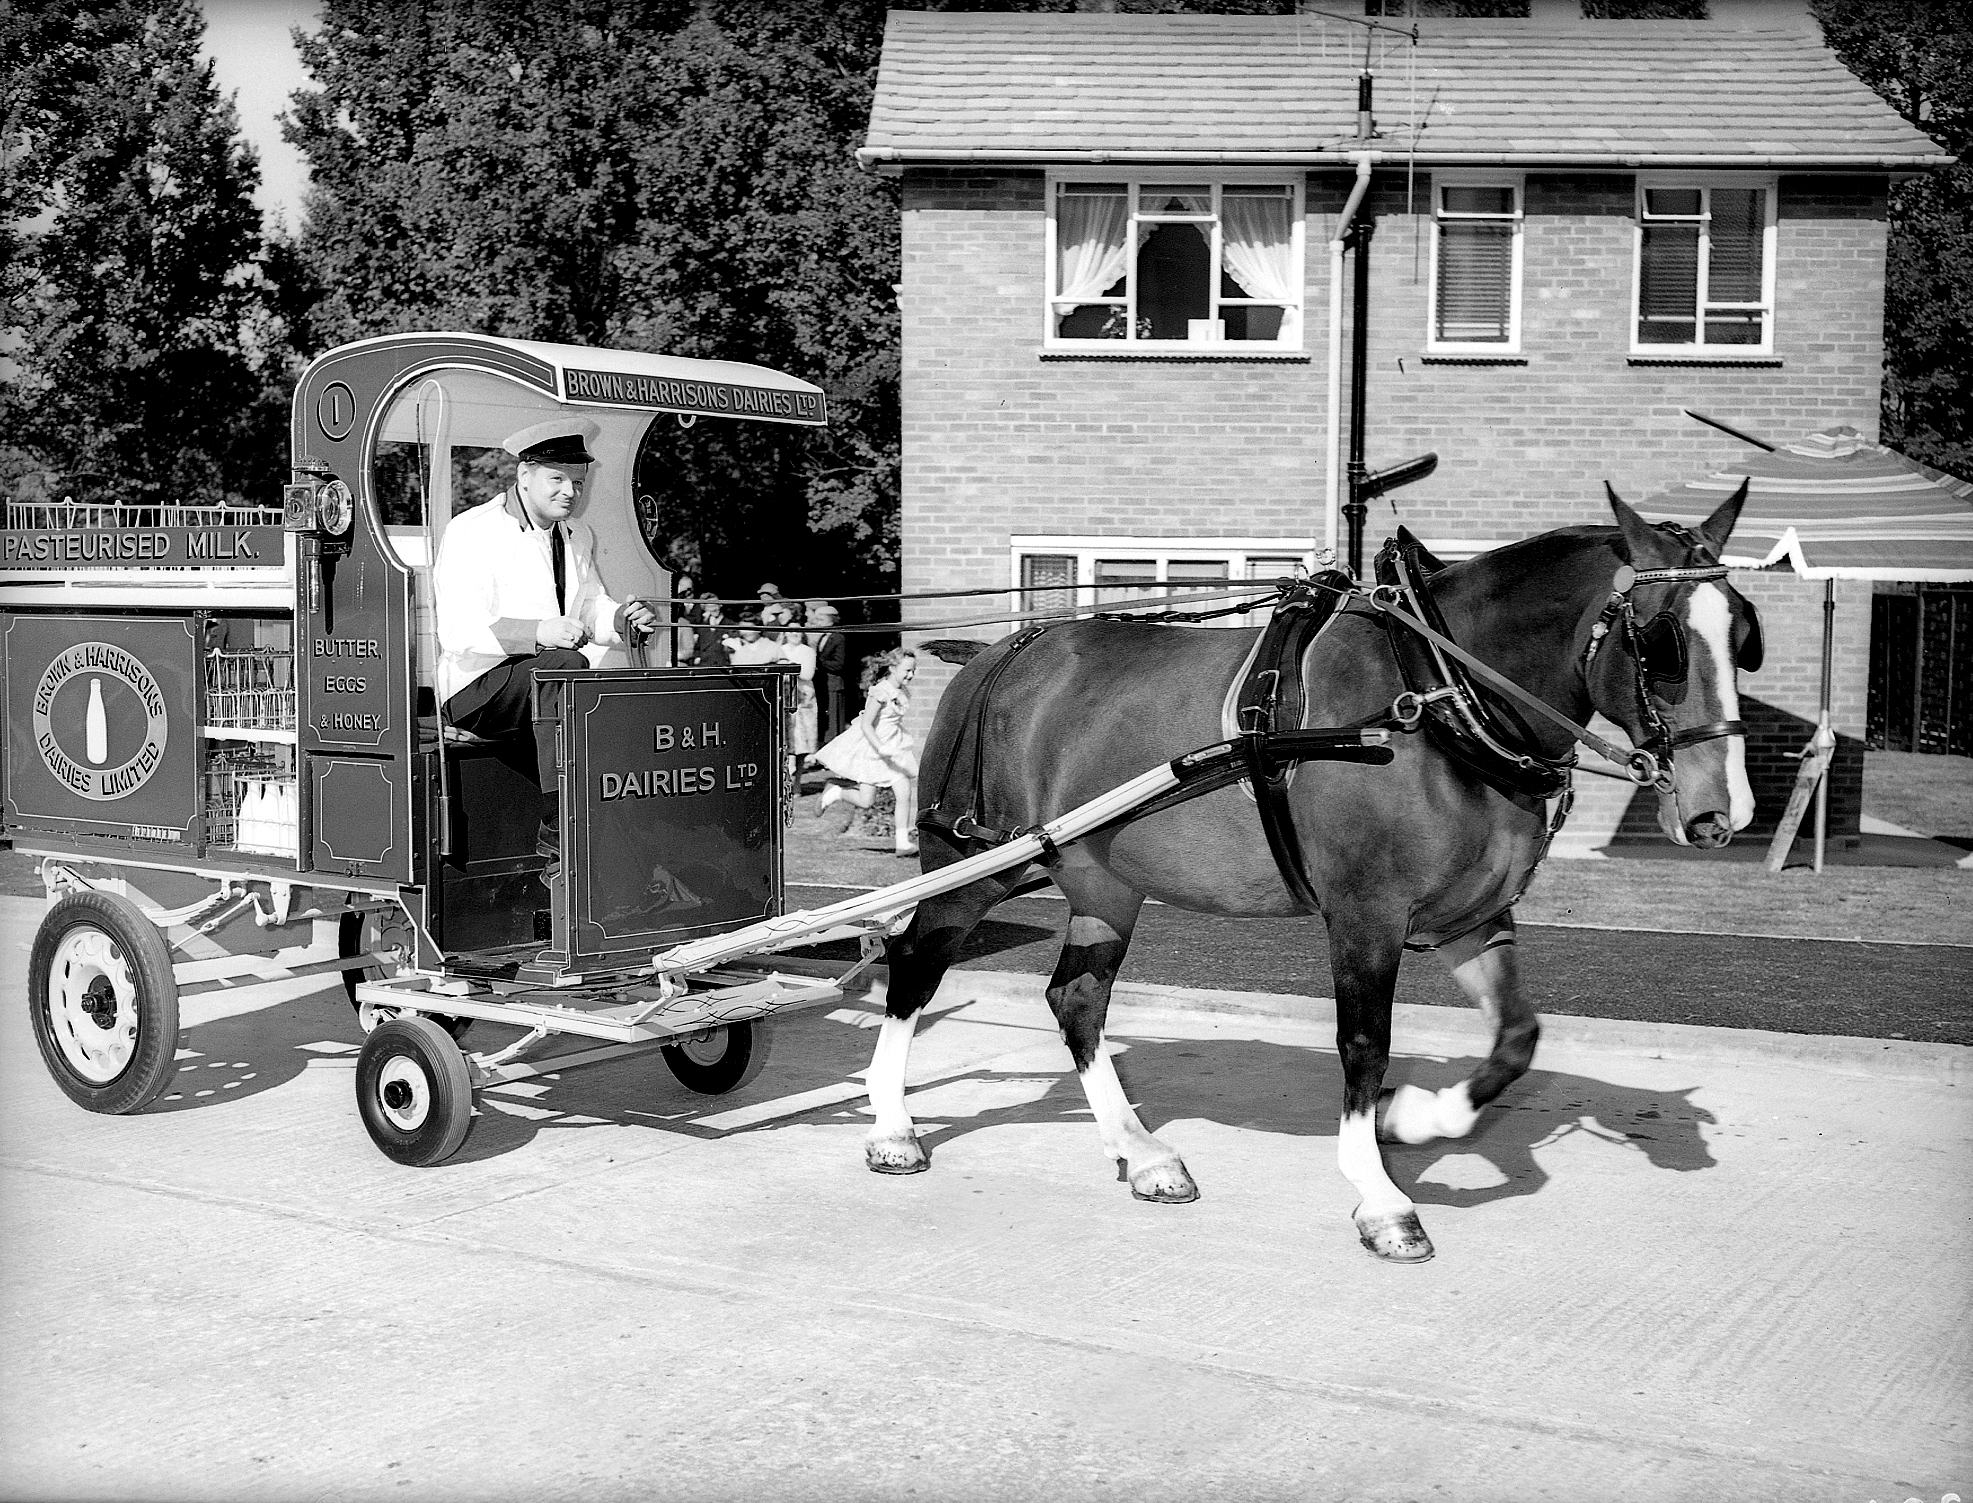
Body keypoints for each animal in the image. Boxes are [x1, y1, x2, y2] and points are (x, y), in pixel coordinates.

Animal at [860, 485, 1759, 1262]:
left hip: (1101, 880)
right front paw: (1379, 1194)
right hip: (971, 861)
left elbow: (1515, 1038)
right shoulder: (1366, 912)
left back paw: (1141, 1151)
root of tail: (996, 655)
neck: (1435, 694)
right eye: (1663, 640)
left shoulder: (1470, 918)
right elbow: (1363, 1043)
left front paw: (1417, 1119)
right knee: (913, 966)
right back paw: (892, 1128)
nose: (1724, 811)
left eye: (1744, 633)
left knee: (1075, 999)